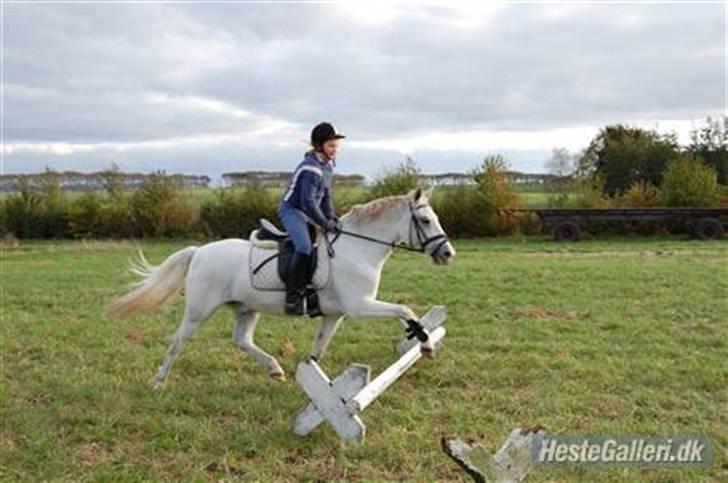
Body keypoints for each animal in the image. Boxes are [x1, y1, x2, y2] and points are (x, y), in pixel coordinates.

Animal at [107, 187, 456, 389]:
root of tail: (199, 252)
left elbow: (319, 348)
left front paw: (312, 380)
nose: (447, 254)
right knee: (177, 341)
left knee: (241, 340)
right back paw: (159, 382)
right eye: (425, 221)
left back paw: (274, 369)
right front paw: (425, 344)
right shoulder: (360, 305)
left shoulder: (336, 314)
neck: (359, 248)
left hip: (246, 308)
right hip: (199, 311)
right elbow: (404, 309)